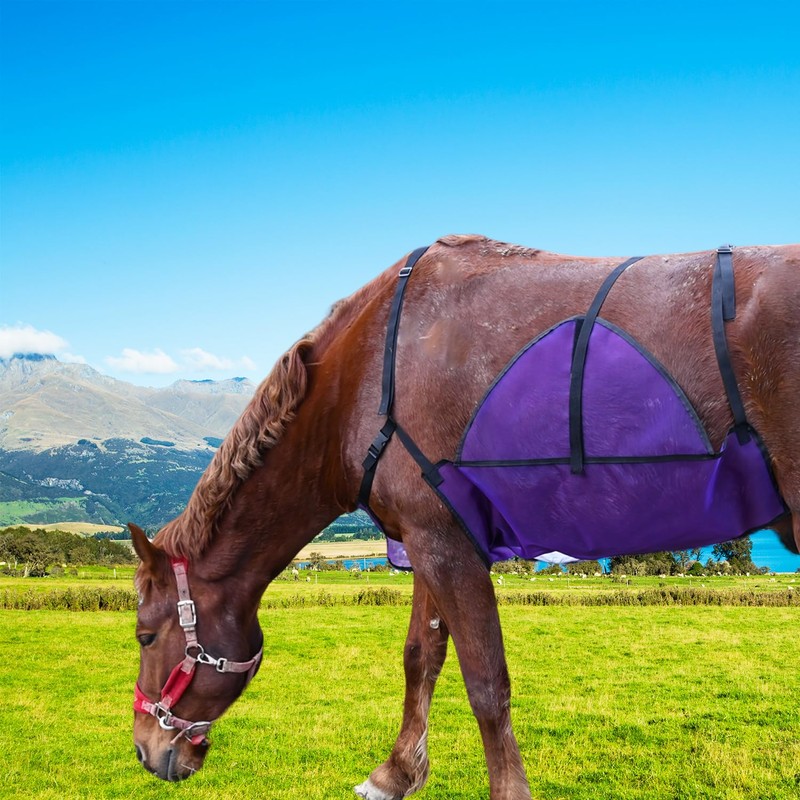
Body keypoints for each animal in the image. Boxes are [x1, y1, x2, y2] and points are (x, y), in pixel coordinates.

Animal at [130, 235, 799, 799]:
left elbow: (486, 685)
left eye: (144, 636)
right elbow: (419, 659)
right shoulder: (427, 540)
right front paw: (396, 771)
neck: (362, 377)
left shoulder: (445, 547)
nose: (143, 750)